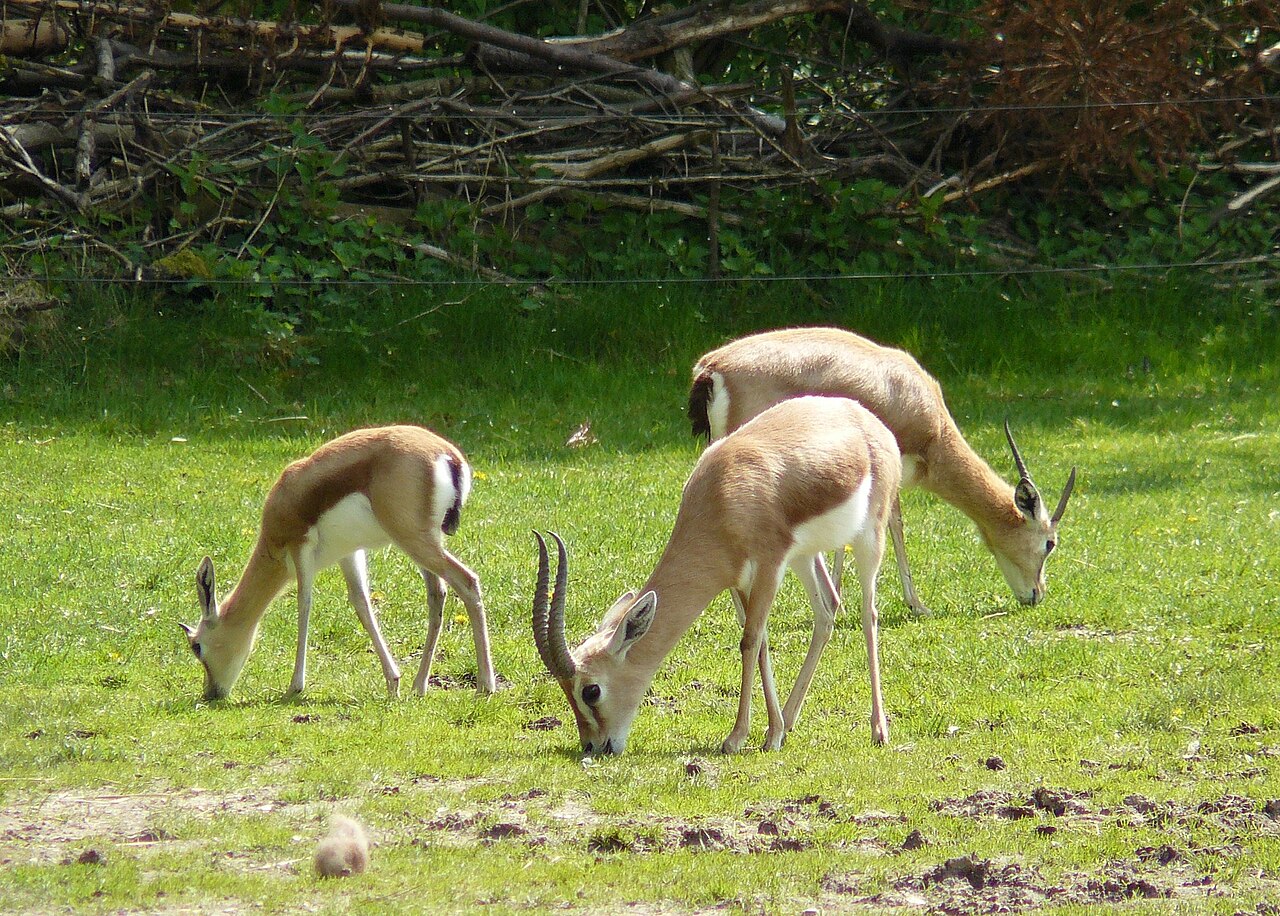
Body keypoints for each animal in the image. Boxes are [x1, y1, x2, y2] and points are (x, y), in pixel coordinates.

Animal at [179, 425, 496, 701]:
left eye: (197, 646)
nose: (211, 693)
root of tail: (447, 454)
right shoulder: (349, 553)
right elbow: (361, 604)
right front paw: (393, 682)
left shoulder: (300, 547)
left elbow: (304, 604)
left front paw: (294, 687)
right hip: (423, 542)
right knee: (437, 594)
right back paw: (419, 686)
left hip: (414, 540)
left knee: (467, 581)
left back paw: (485, 685)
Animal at [532, 396, 902, 755]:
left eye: (591, 690)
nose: (594, 746)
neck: (723, 496)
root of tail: (868, 420)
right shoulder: (739, 580)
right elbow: (760, 642)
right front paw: (772, 732)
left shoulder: (769, 566)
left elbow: (749, 641)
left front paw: (739, 738)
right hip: (804, 556)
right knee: (827, 611)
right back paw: (790, 720)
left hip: (869, 538)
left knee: (868, 614)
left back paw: (878, 730)